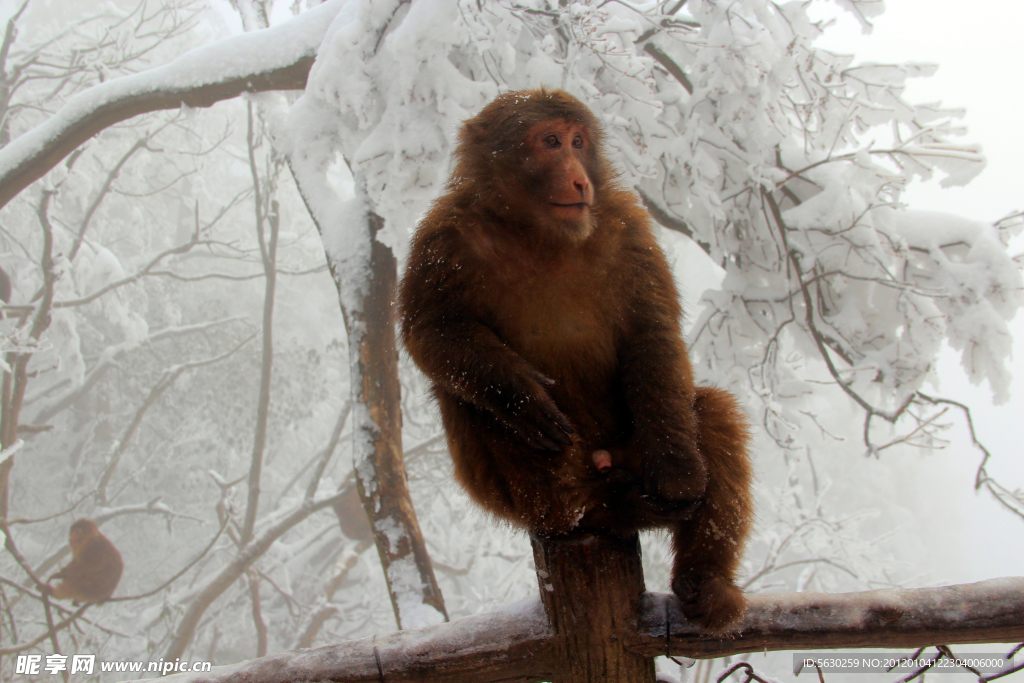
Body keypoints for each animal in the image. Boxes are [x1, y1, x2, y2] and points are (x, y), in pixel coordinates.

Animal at [399, 88, 753, 634]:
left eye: (578, 141)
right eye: (550, 141)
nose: (580, 178)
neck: (538, 232)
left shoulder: (627, 226)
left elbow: (651, 334)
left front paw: (679, 475)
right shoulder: (443, 237)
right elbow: (433, 332)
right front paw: (520, 394)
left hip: (632, 447)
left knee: (708, 411)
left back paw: (704, 582)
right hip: (529, 493)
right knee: (482, 406)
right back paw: (591, 508)